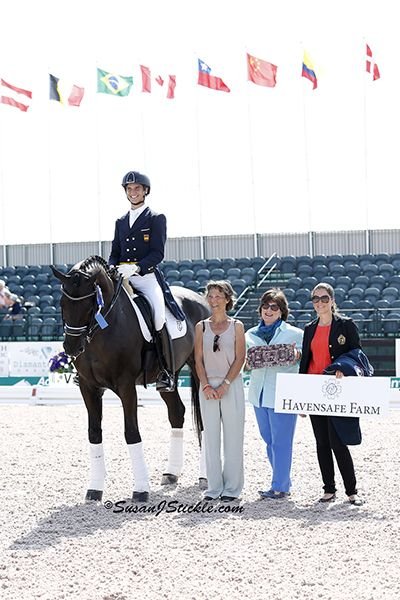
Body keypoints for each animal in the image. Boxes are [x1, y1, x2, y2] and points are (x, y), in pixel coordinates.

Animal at [50, 255, 209, 504]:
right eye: (63, 304)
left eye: (90, 306)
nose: (72, 347)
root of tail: (202, 300)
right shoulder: (88, 386)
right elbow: (94, 433)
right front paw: (94, 488)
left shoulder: (126, 386)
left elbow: (131, 432)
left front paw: (141, 489)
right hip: (169, 377)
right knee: (176, 413)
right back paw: (171, 473)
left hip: (201, 371)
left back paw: (205, 477)